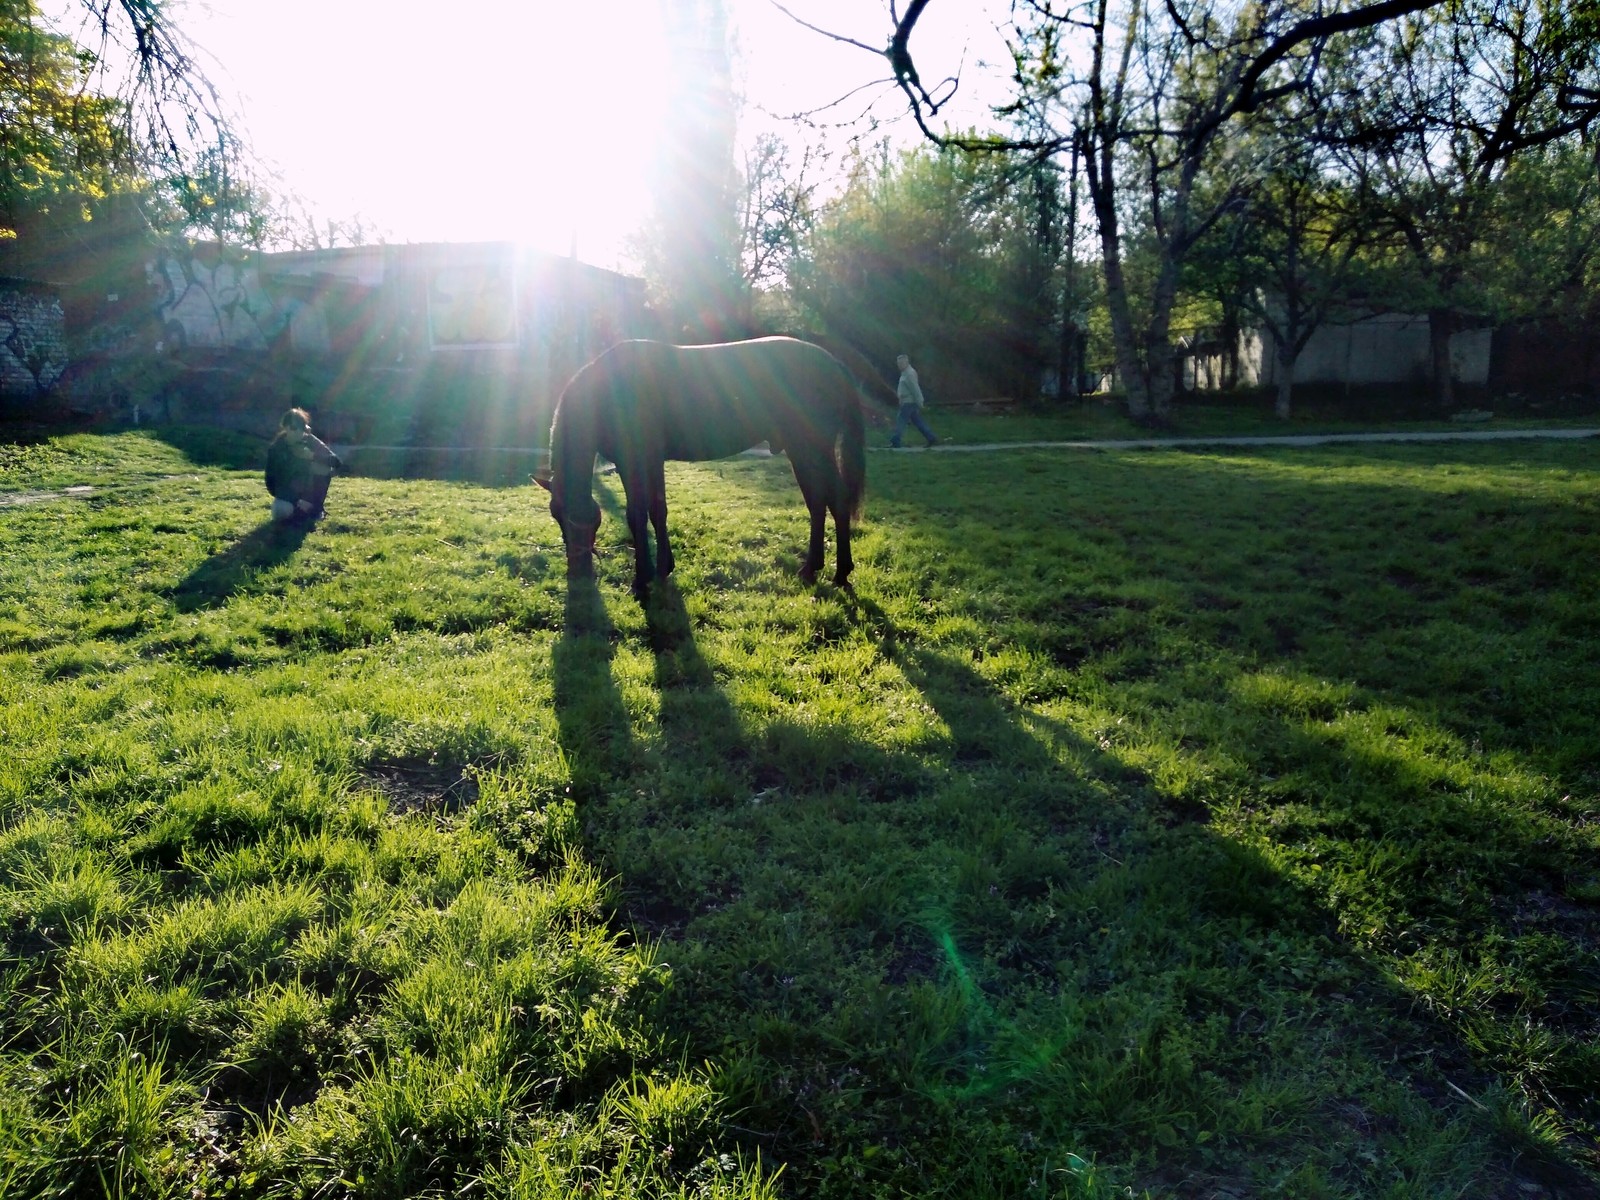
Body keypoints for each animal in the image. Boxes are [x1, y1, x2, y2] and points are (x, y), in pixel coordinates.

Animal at [537, 336, 870, 598]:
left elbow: (636, 515)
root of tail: (835, 365)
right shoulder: (651, 461)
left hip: (810, 449)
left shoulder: (634, 461)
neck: (609, 391)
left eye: (575, 517)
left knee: (835, 503)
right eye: (555, 516)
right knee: (818, 504)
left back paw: (840, 573)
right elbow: (657, 511)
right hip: (802, 452)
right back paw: (813, 568)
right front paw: (663, 569)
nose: (576, 573)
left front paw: (641, 579)